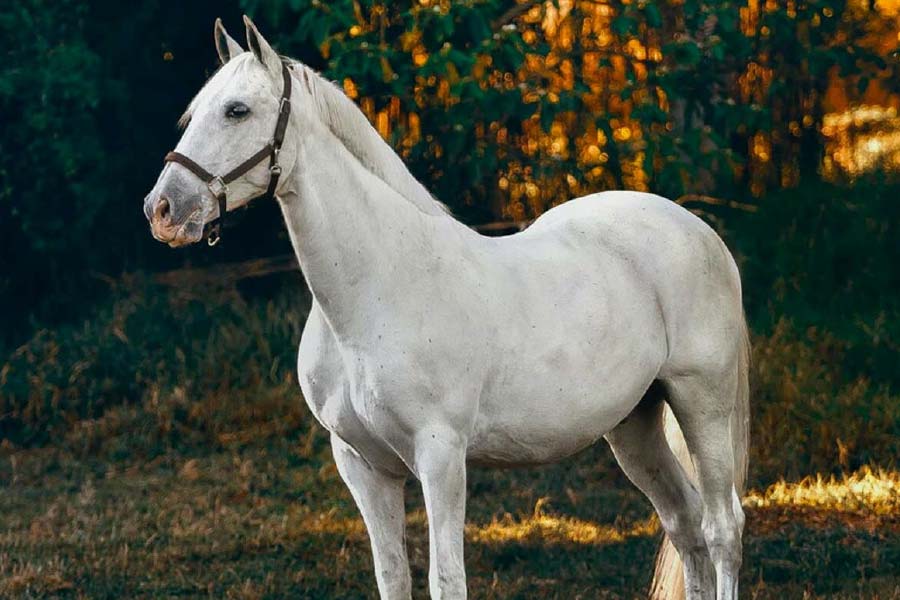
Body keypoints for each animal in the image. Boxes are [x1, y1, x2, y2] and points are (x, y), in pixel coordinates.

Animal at [143, 17, 749, 600]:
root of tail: (699, 231)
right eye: (193, 113)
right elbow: (392, 575)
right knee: (684, 523)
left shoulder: (440, 455)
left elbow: (446, 578)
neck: (377, 292)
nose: (163, 209)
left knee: (722, 527)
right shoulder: (363, 465)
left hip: (701, 403)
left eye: (237, 110)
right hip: (634, 425)